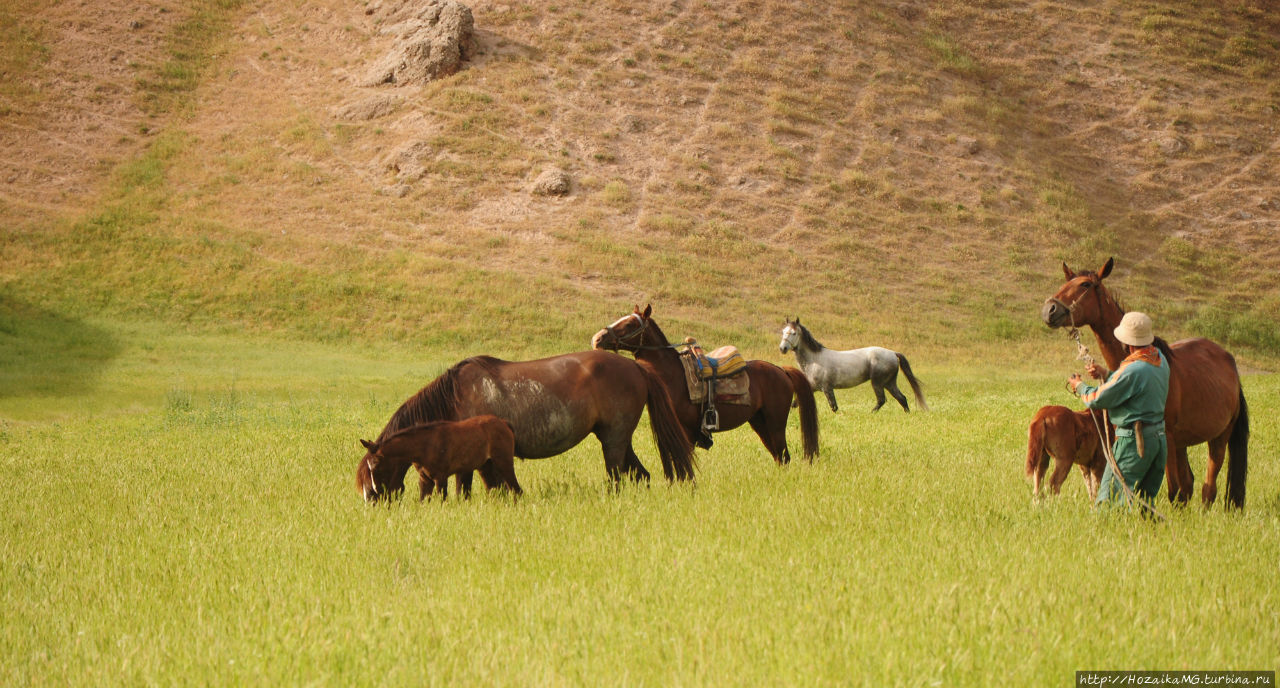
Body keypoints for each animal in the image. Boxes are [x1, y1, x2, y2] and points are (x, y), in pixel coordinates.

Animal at [358, 411, 522, 498]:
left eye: (376, 466)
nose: (377, 490)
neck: (424, 446)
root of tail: (505, 423)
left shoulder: (440, 478)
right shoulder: (425, 479)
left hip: (503, 463)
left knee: (517, 490)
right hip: (486, 467)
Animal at [588, 304, 819, 460]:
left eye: (629, 323)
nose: (597, 338)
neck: (673, 375)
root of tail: (781, 370)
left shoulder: (687, 432)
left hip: (776, 422)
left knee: (784, 456)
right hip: (760, 422)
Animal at [773, 317, 926, 411]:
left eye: (793, 333)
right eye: (783, 331)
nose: (782, 348)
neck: (813, 361)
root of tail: (893, 353)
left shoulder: (827, 388)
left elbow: (834, 407)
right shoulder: (812, 388)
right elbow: (794, 404)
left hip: (878, 382)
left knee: (882, 400)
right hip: (889, 383)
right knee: (902, 398)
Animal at [1039, 257, 1249, 508]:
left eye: (1085, 285)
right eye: (1066, 282)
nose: (1049, 310)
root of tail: (1230, 363)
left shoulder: (1165, 439)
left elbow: (1171, 490)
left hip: (1218, 438)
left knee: (1208, 488)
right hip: (1182, 444)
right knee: (1188, 486)